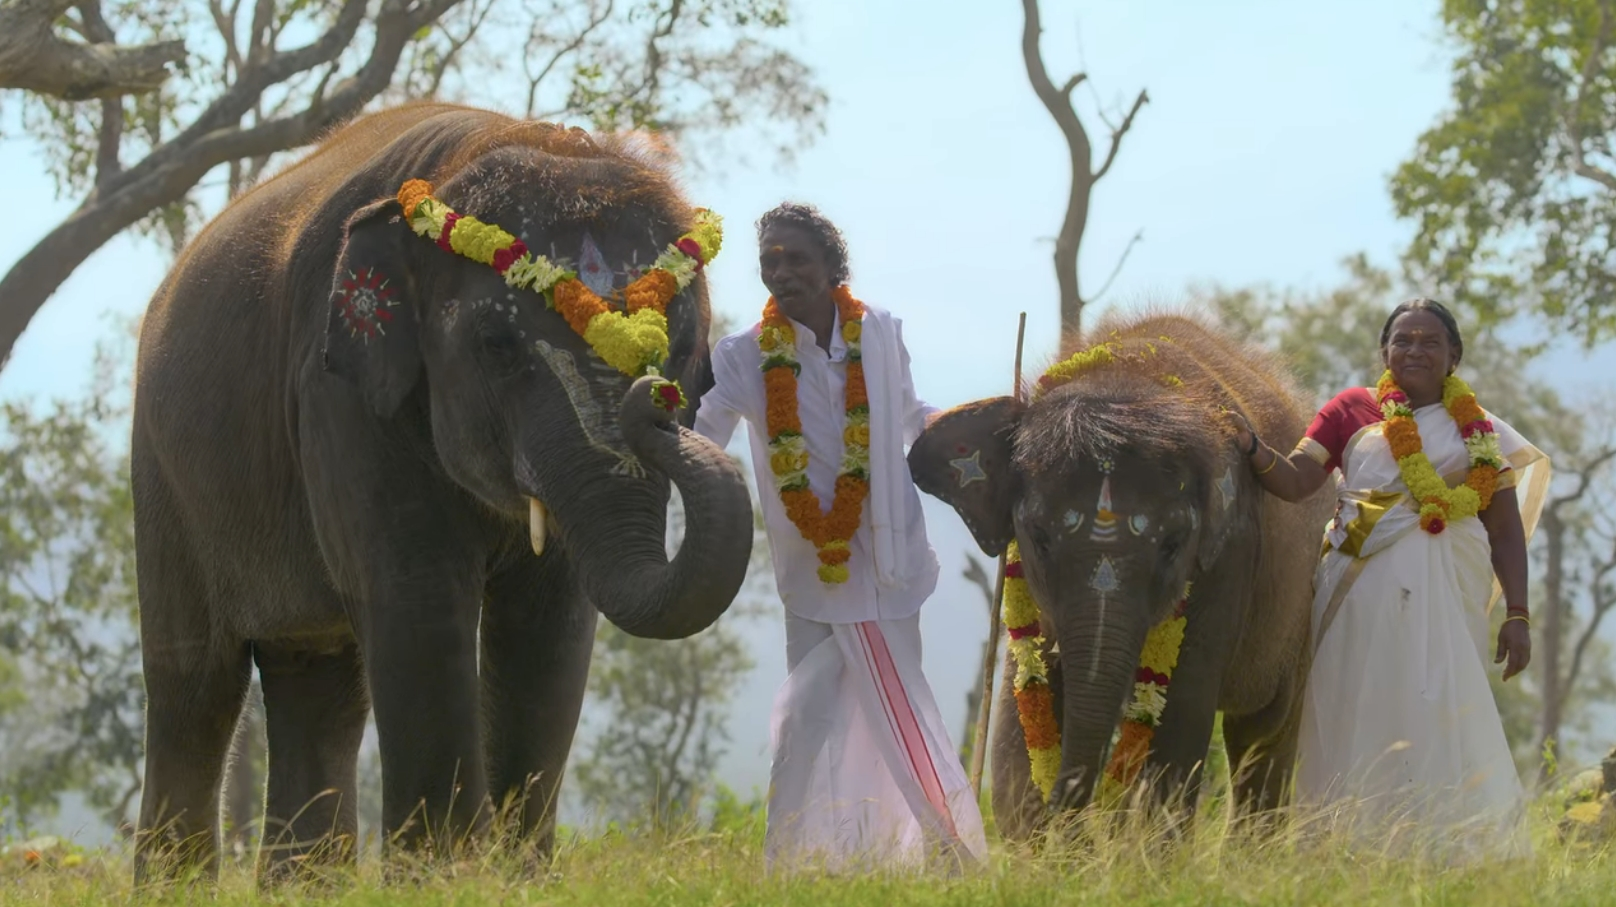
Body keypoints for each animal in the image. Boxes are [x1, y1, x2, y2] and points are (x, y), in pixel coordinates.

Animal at [130, 102, 749, 879]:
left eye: (688, 347)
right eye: (497, 345)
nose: (653, 393)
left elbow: (552, 618)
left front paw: (518, 879)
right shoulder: (339, 393)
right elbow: (417, 595)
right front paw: (444, 876)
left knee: (317, 682)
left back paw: (306, 884)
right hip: (163, 477)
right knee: (194, 688)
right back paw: (172, 882)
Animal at [911, 310, 1338, 834]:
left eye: (1173, 545)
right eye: (1039, 537)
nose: (1073, 815)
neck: (1126, 374)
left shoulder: (1232, 553)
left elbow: (1181, 715)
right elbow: (1018, 707)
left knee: (1263, 733)